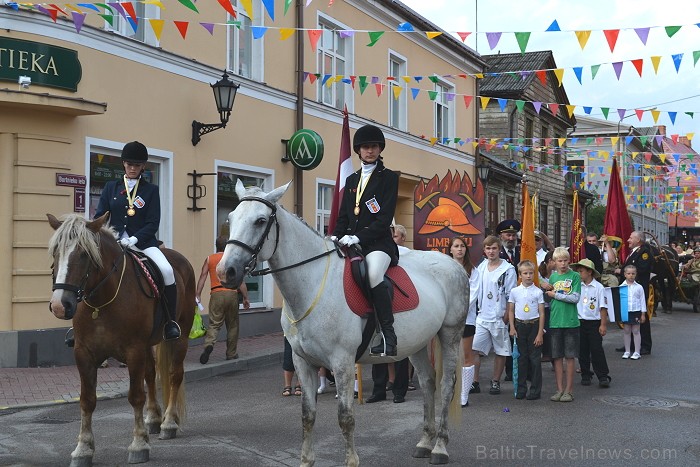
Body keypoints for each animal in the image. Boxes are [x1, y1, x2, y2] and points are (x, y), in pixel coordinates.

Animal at [47, 213, 194, 467]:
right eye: (56, 251)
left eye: (84, 254)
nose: (59, 305)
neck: (101, 303)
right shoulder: (83, 354)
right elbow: (87, 400)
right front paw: (83, 449)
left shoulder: (133, 351)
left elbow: (135, 396)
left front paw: (139, 445)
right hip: (148, 344)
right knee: (150, 375)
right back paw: (153, 419)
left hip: (180, 336)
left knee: (174, 375)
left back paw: (168, 423)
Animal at [217, 181, 470, 466]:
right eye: (230, 218)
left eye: (260, 221)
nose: (225, 271)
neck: (313, 283)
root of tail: (453, 264)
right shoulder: (302, 361)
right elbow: (307, 415)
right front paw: (306, 460)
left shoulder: (342, 362)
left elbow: (346, 418)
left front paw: (351, 461)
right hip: (416, 342)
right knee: (428, 382)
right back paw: (425, 442)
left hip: (450, 334)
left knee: (446, 386)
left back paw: (439, 447)